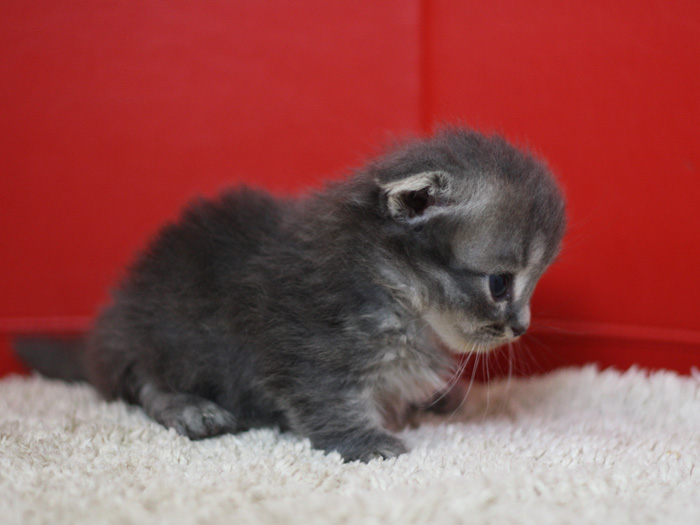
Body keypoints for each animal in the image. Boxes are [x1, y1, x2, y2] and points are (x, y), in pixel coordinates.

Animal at [15, 128, 564, 462]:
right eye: (500, 283)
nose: (522, 327)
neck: (393, 285)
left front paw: (439, 395)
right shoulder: (308, 346)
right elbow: (328, 398)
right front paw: (367, 441)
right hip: (161, 337)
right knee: (139, 382)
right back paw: (188, 407)